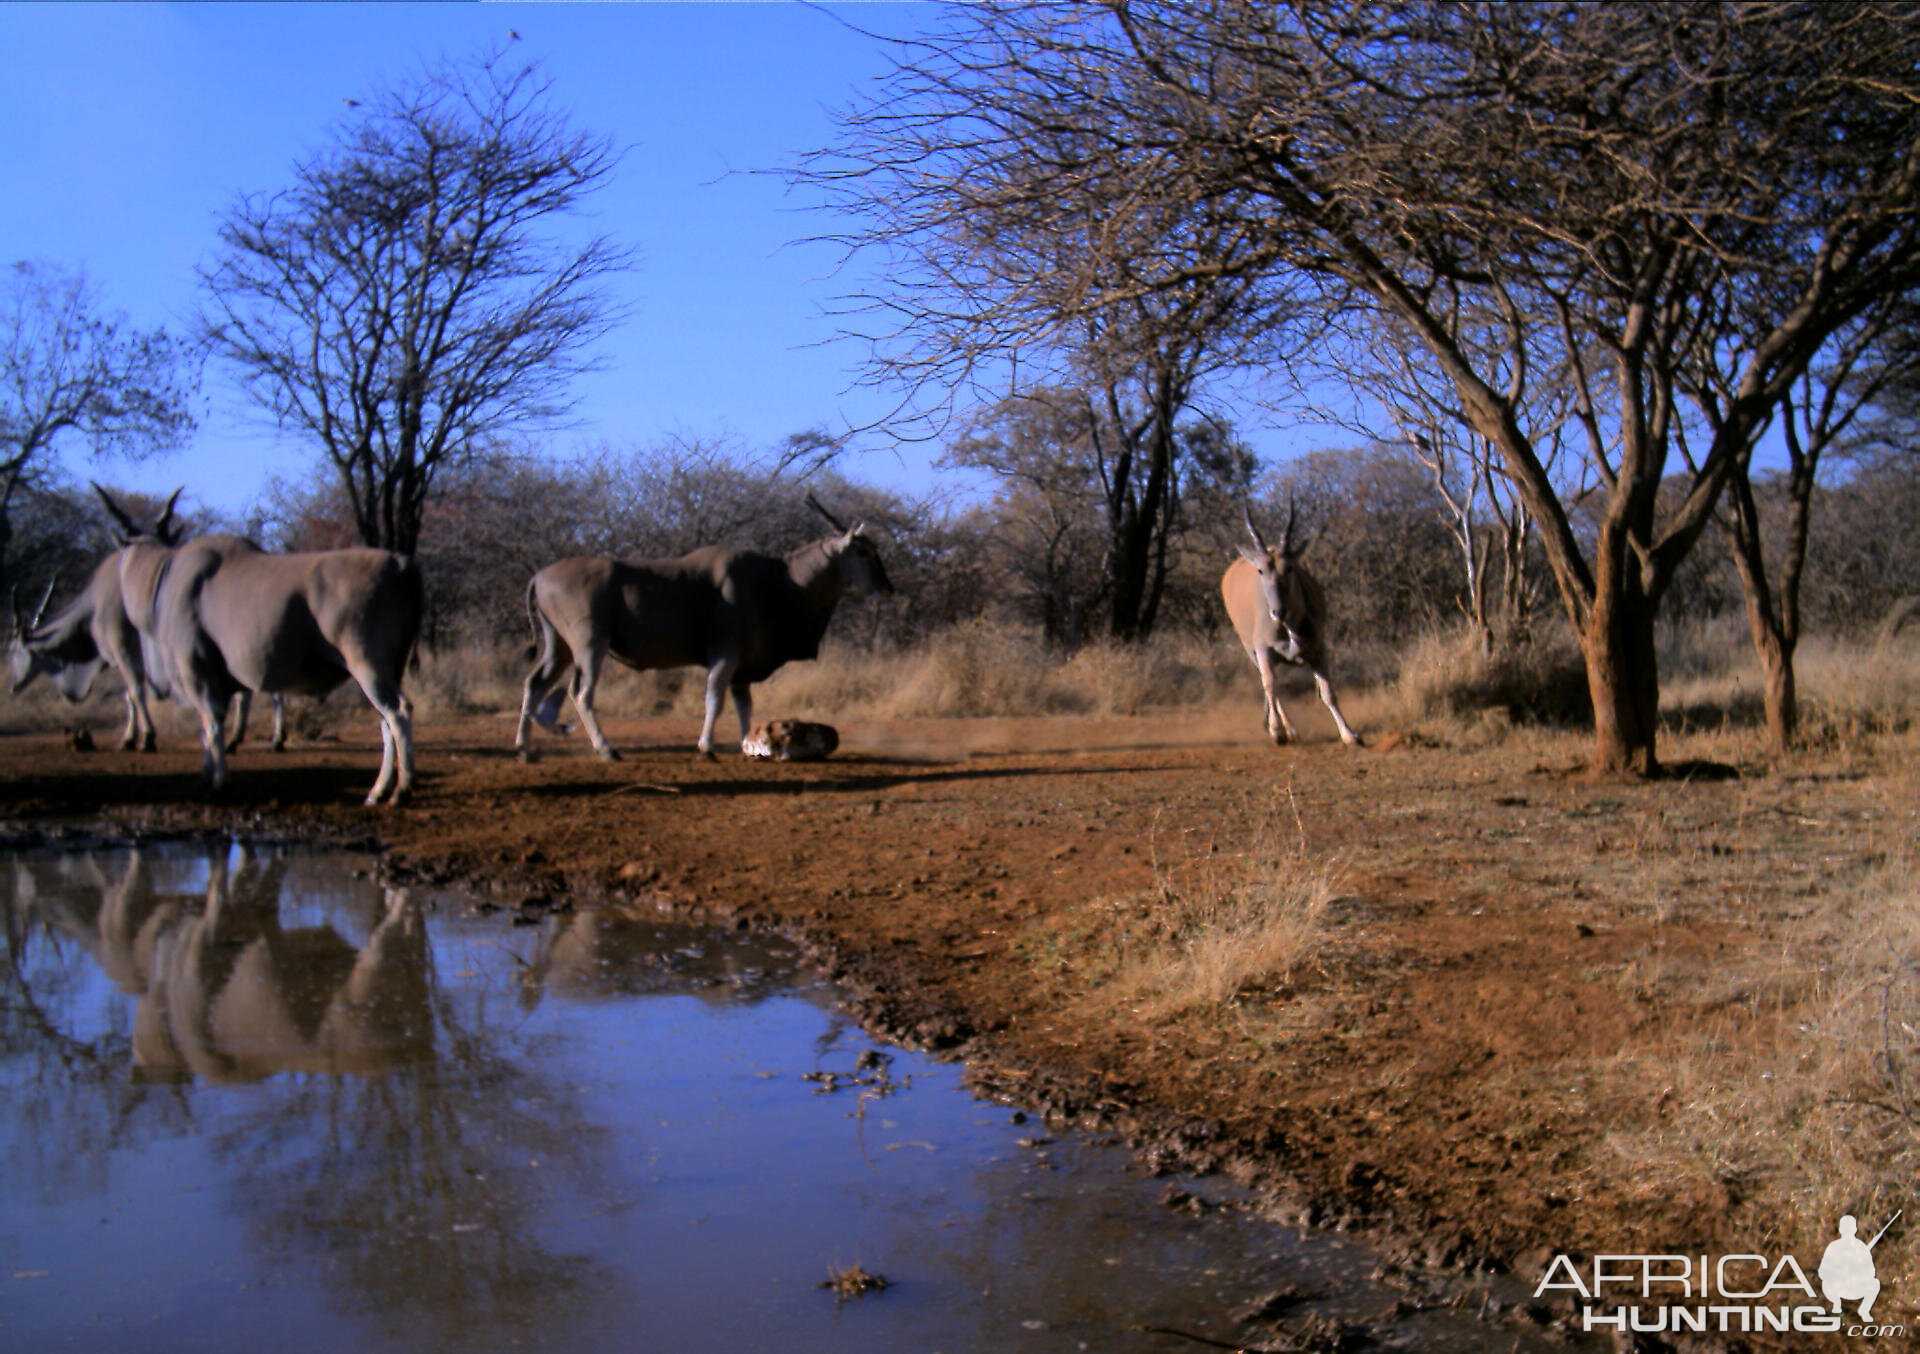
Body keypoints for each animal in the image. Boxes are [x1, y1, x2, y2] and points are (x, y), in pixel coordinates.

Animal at [518, 491, 890, 756]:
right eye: (862, 552)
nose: (888, 586)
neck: (780, 581)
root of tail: (538, 577)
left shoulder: (742, 670)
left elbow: (745, 708)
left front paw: (750, 744)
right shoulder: (725, 654)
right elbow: (715, 698)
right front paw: (707, 747)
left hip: (559, 647)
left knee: (535, 683)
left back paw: (525, 747)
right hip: (590, 644)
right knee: (580, 692)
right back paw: (605, 748)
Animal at [1221, 503, 1359, 745]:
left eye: (1290, 568)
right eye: (1261, 570)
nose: (1278, 611)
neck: (1288, 627)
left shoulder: (1318, 649)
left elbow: (1328, 693)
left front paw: (1349, 734)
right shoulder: (1263, 650)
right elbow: (1270, 685)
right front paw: (1277, 731)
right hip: (1250, 650)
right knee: (1269, 685)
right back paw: (1288, 730)